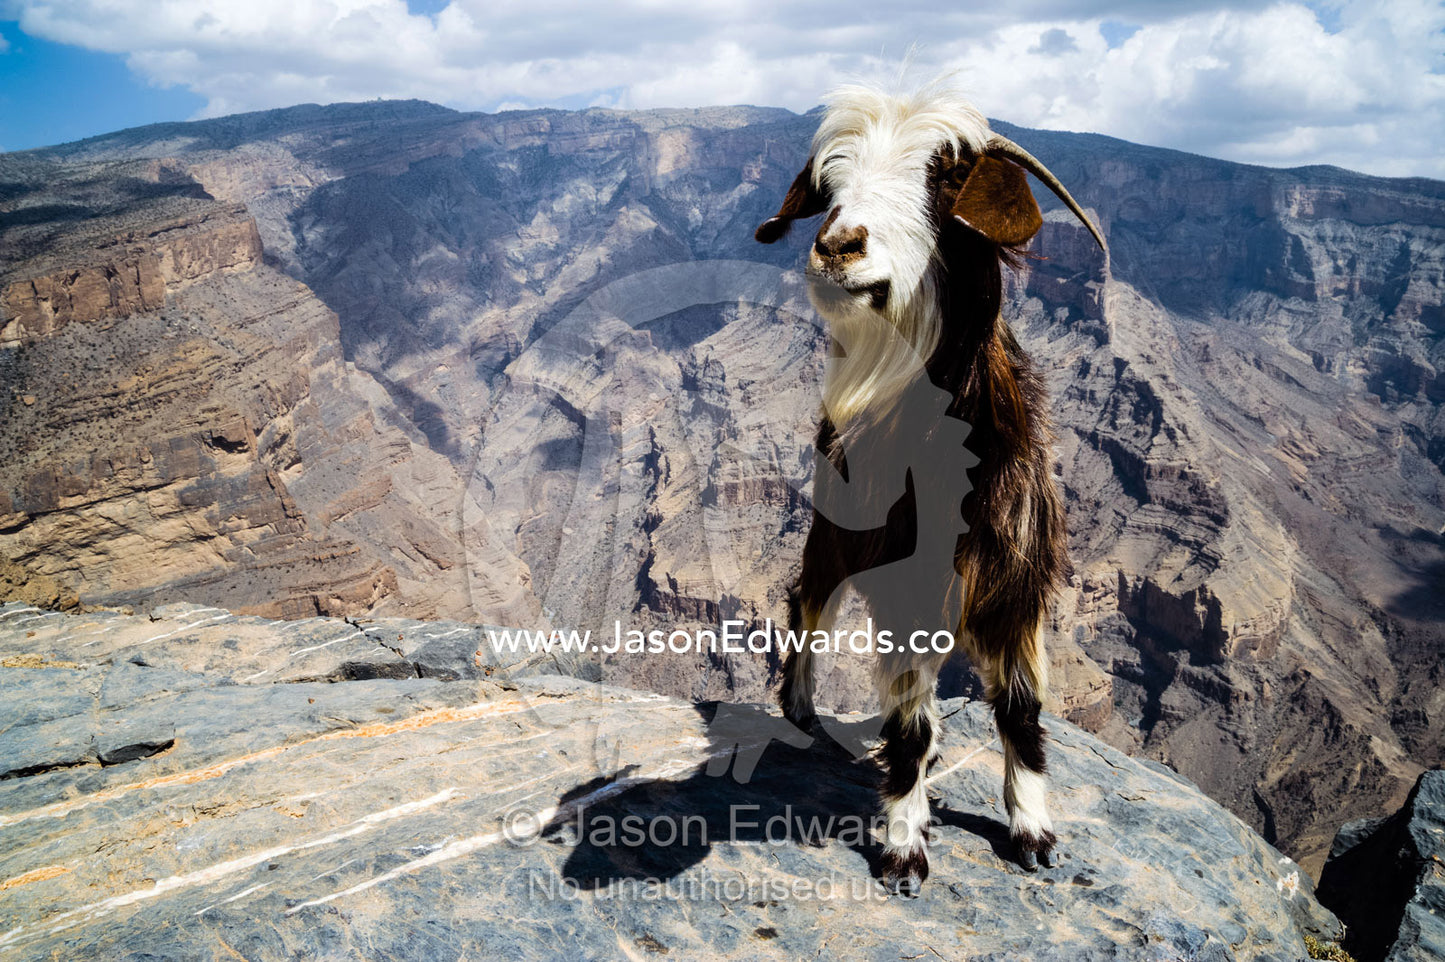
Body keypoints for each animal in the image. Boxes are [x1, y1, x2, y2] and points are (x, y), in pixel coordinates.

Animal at [754, 79, 1106, 896]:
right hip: (835, 530)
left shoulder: (1016, 580)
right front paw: (902, 847)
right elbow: (908, 724)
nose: (836, 245)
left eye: (944, 183)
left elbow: (1020, 708)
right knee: (808, 597)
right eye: (828, 187)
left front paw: (1034, 831)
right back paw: (800, 706)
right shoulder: (903, 585)